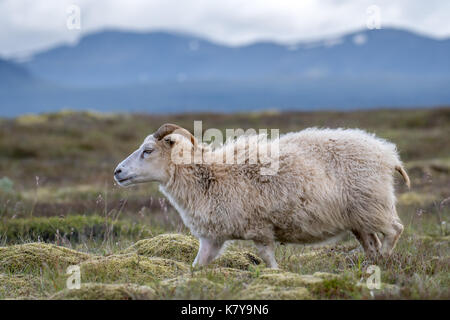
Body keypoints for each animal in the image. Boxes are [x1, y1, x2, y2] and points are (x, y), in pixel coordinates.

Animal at [114, 124, 410, 268]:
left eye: (148, 150)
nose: (117, 172)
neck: (208, 176)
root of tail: (388, 154)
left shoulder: (260, 229)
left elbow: (269, 261)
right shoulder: (212, 238)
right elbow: (196, 267)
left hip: (374, 204)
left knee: (395, 230)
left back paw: (383, 261)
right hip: (359, 218)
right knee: (371, 243)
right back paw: (370, 265)